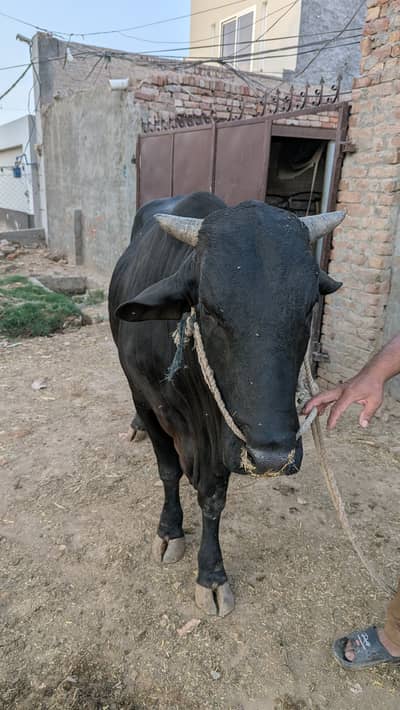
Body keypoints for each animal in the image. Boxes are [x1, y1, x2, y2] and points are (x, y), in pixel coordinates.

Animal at [109, 192, 344, 617]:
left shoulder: (222, 433)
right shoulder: (148, 401)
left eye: (308, 308)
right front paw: (169, 530)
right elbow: (168, 471)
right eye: (208, 309)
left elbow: (213, 497)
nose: (271, 458)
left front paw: (212, 576)